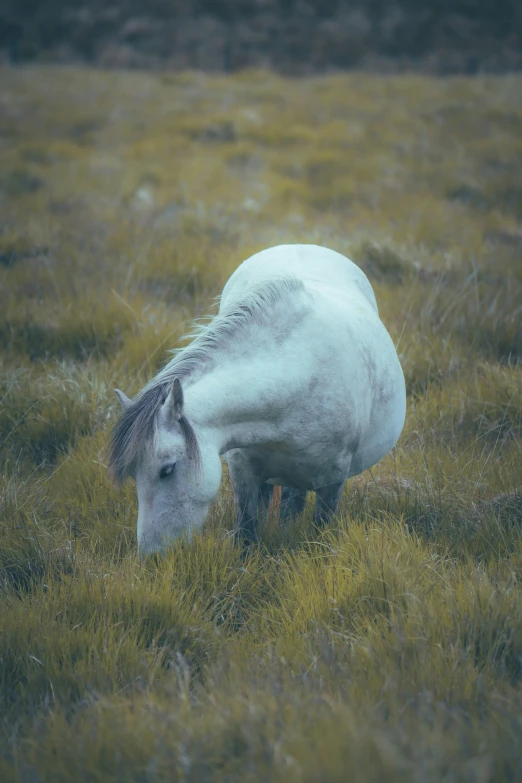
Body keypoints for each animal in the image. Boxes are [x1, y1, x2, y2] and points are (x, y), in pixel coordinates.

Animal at [107, 242, 404, 556]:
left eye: (167, 470)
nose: (151, 557)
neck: (298, 375)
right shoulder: (244, 473)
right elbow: (247, 532)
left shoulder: (333, 481)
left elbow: (320, 530)